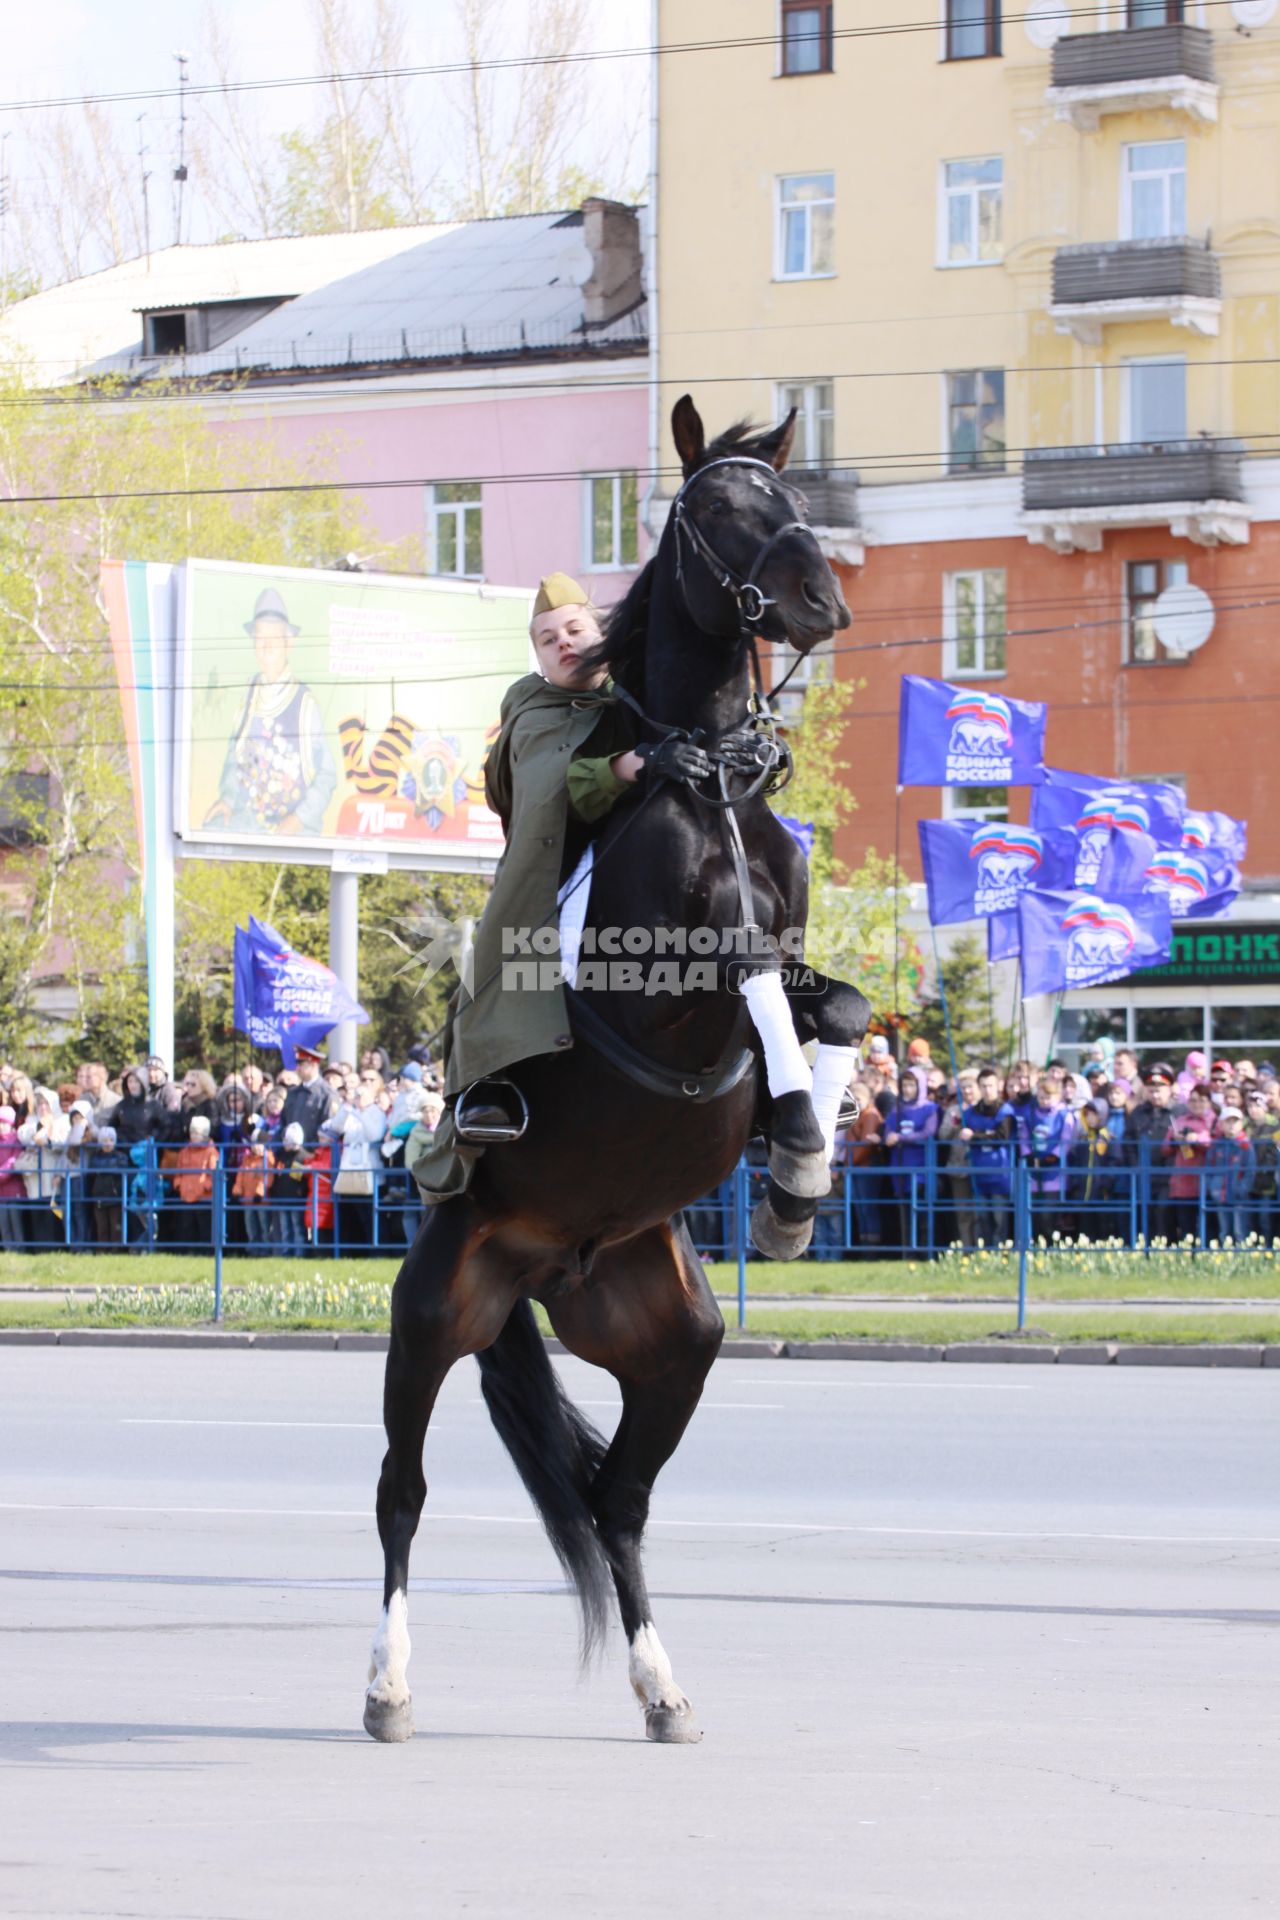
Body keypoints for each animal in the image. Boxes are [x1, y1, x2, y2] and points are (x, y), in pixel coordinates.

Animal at [364, 397, 875, 1751]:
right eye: (715, 510)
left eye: (784, 493)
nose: (817, 598)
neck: (707, 787)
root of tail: (550, 1264)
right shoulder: (669, 986)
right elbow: (756, 988)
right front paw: (795, 1153)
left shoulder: (790, 959)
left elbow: (834, 1005)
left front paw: (798, 1170)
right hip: (430, 1319)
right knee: (401, 1491)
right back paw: (386, 1684)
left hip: (672, 1347)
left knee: (617, 1500)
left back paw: (661, 1685)